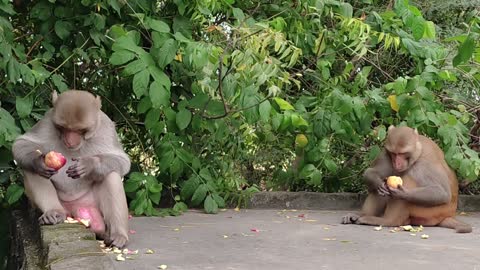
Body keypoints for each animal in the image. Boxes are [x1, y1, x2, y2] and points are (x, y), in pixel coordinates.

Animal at [12, 89, 131, 248]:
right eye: (63, 128)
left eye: (80, 130)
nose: (70, 141)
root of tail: (74, 210)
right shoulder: (47, 121)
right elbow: (21, 143)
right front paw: (38, 161)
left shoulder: (106, 127)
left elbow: (123, 161)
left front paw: (89, 165)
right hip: (59, 207)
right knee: (31, 170)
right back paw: (53, 212)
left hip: (90, 202)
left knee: (110, 174)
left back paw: (118, 234)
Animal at [342, 125, 472, 233]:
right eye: (394, 154)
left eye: (402, 153)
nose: (397, 163)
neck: (417, 152)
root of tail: (448, 215)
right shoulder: (386, 153)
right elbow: (372, 172)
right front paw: (378, 183)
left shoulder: (426, 163)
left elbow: (442, 192)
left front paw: (401, 193)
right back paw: (361, 214)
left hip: (433, 212)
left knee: (409, 179)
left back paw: (388, 221)